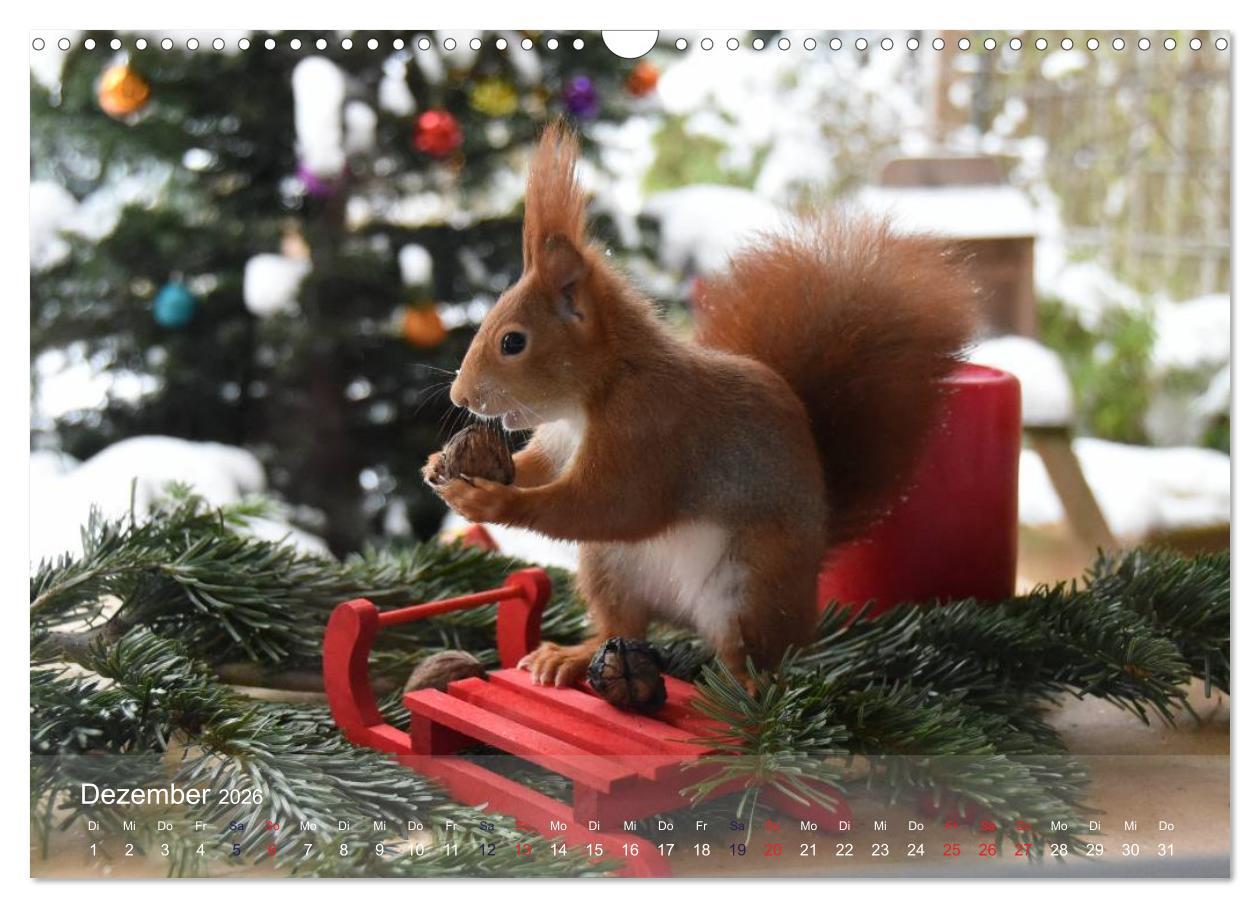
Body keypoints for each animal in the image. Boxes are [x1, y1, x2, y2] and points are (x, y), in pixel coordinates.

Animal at [427, 123, 977, 688]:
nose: (459, 396)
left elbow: (612, 505)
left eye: (513, 342)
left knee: (751, 657)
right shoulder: (560, 439)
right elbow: (537, 467)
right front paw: (440, 465)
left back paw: (740, 691)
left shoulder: (649, 431)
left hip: (751, 585)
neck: (597, 392)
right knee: (622, 627)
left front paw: (494, 503)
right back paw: (574, 657)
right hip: (611, 568)